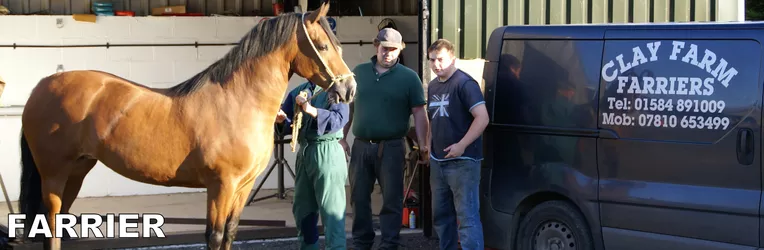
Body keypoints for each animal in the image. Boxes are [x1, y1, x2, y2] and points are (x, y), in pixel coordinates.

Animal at [14, 2, 356, 250]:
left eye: (339, 45)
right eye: (323, 46)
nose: (349, 89)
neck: (238, 101)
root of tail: (42, 86)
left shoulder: (242, 187)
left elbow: (230, 232)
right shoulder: (221, 186)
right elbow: (214, 236)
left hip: (76, 171)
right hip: (54, 174)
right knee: (51, 225)